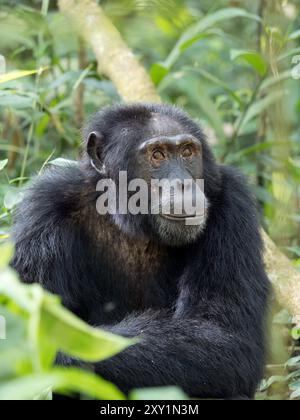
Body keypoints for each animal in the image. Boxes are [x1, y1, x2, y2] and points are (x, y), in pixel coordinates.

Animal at [11, 103, 270, 398]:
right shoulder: (45, 210)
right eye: (157, 155)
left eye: (187, 152)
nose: (183, 183)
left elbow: (225, 334)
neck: (133, 222)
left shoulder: (233, 204)